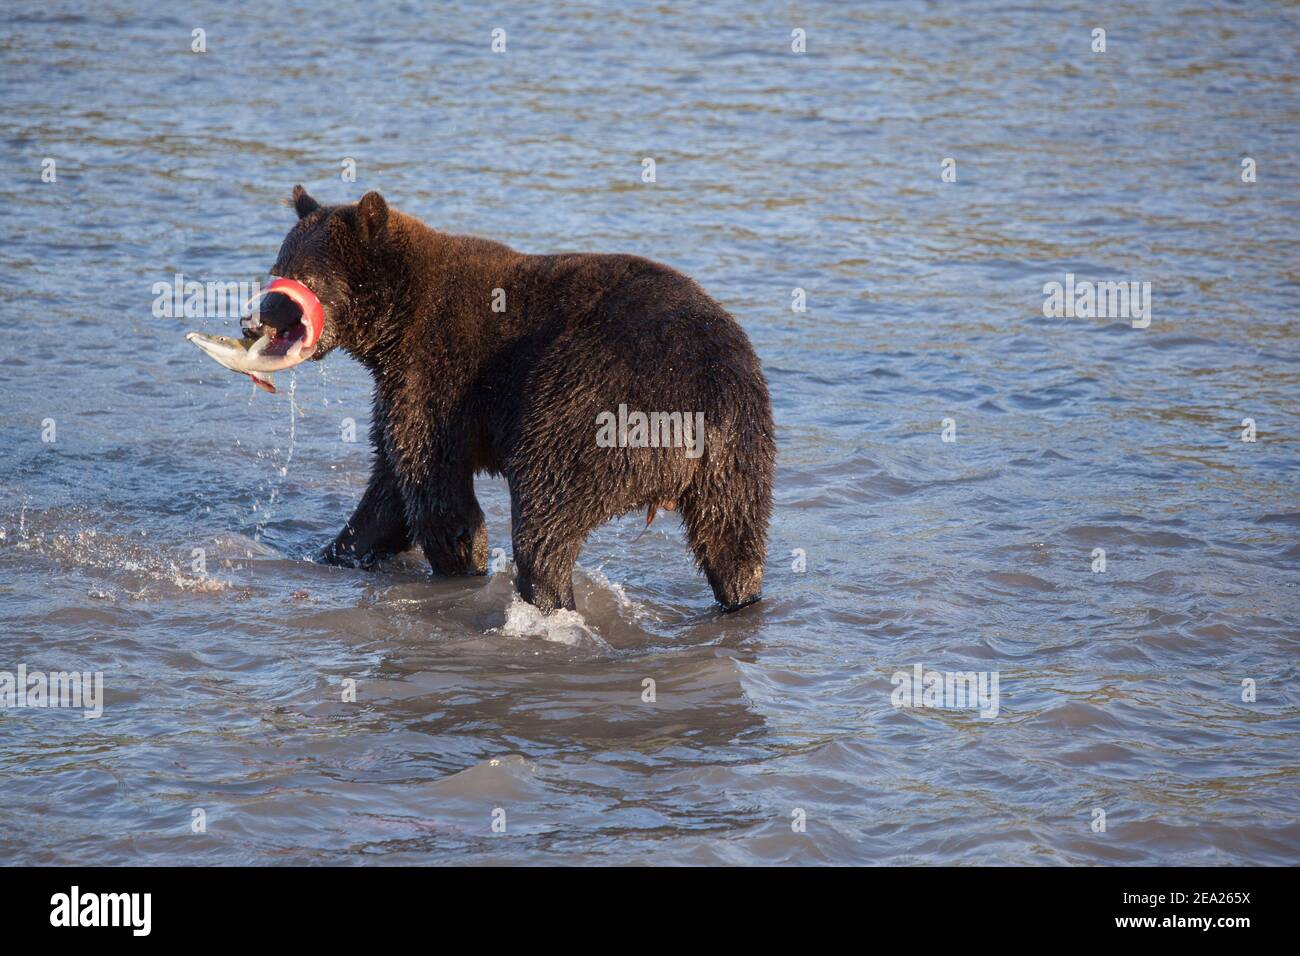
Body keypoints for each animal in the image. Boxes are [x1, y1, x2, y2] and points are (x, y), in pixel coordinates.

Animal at [245, 188, 769, 613]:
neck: (394, 325)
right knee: (733, 540)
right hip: (740, 451)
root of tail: (702, 404)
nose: (254, 321)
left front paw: (463, 561)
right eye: (276, 271)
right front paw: (336, 551)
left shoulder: (437, 371)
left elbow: (432, 482)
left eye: (304, 278)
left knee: (547, 510)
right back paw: (740, 598)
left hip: (594, 403)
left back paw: (547, 596)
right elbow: (388, 486)